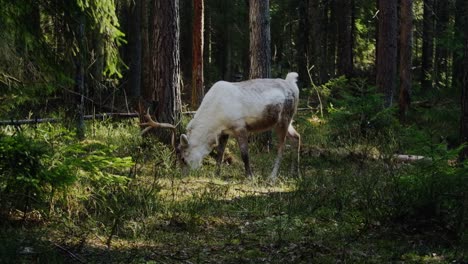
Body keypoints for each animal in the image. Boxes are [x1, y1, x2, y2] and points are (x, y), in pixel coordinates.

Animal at [141, 71, 300, 179]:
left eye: (183, 159)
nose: (183, 176)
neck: (215, 120)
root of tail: (293, 84)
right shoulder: (225, 131)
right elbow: (220, 153)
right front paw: (216, 174)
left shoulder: (240, 127)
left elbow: (244, 155)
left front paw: (250, 176)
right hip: (285, 121)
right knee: (297, 137)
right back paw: (294, 172)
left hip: (284, 118)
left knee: (282, 146)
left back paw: (272, 176)